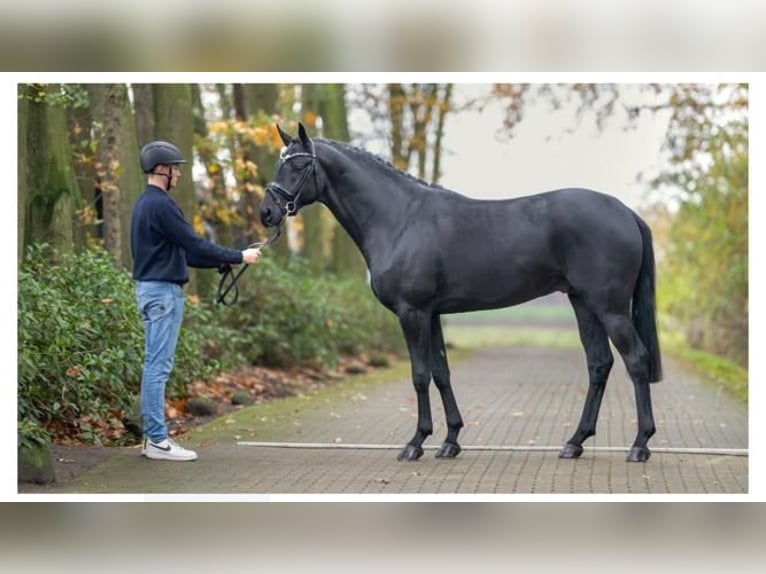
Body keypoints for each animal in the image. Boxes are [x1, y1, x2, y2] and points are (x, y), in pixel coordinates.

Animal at [260, 125, 664, 464]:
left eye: (299, 166)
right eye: (279, 164)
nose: (267, 212)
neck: (399, 218)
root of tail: (626, 212)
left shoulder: (412, 312)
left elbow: (420, 374)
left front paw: (415, 443)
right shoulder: (432, 314)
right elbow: (441, 372)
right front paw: (450, 441)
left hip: (610, 308)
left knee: (636, 361)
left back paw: (639, 445)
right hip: (583, 303)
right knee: (599, 364)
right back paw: (575, 442)